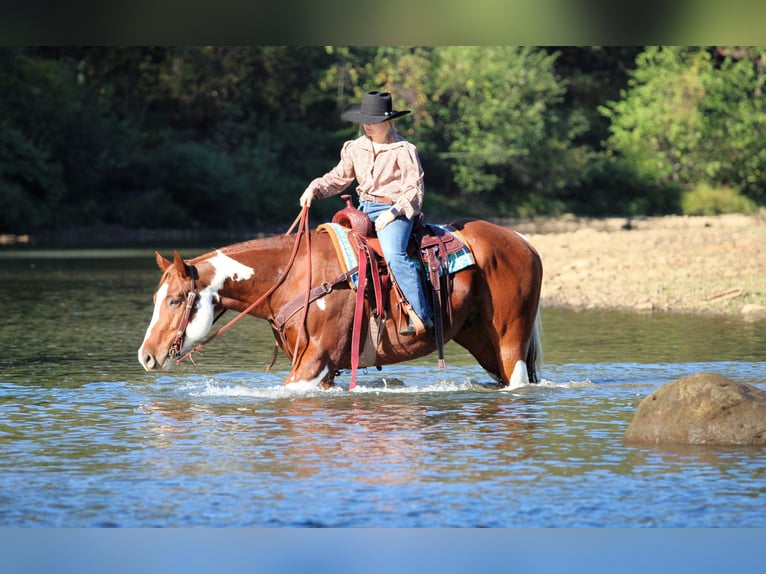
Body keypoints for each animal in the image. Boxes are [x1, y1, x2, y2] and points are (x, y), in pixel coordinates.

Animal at [138, 214, 544, 389]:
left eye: (176, 300)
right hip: (480, 339)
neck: (296, 277)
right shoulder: (323, 369)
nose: (146, 356)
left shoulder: (316, 359)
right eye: (157, 297)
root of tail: (522, 241)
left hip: (510, 338)